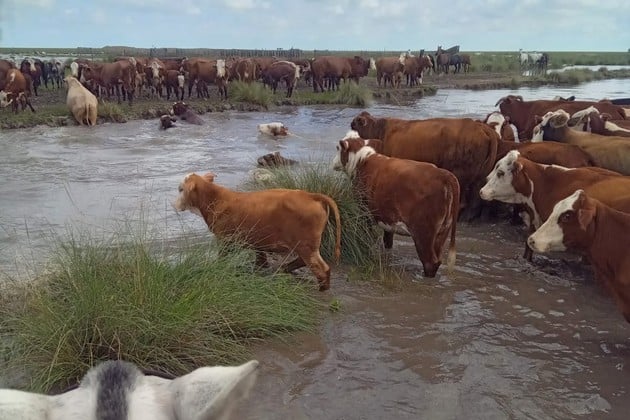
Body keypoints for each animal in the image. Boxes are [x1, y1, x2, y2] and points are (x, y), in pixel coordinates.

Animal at [173, 172, 341, 291]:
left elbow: (222, 258)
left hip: (306, 245)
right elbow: (260, 257)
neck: (215, 199)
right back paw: (284, 269)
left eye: (181, 189)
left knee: (321, 268)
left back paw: (322, 288)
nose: (173, 204)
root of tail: (309, 195)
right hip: (305, 245)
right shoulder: (257, 240)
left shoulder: (225, 240)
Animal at [332, 137, 459, 278]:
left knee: (430, 262)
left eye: (338, 148)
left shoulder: (363, 212)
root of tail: (444, 174)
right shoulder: (388, 218)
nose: (333, 162)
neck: (363, 161)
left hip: (424, 232)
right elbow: (388, 241)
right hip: (442, 231)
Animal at [350, 111, 499, 221]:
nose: (350, 125)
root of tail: (479, 126)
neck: (380, 131)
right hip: (478, 174)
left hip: (461, 173)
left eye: (355, 124)